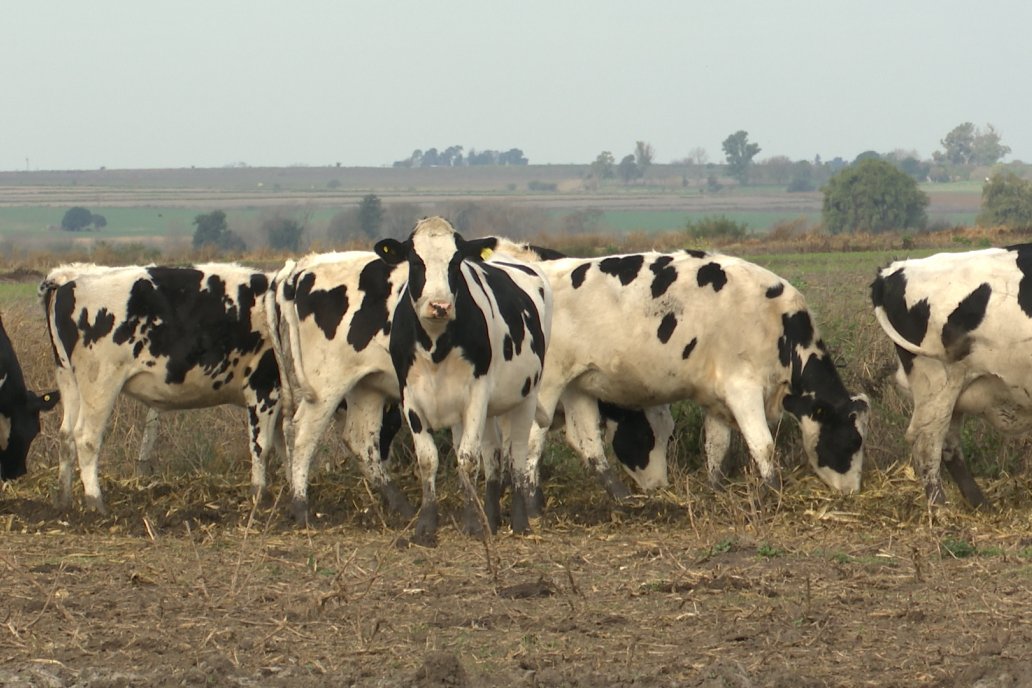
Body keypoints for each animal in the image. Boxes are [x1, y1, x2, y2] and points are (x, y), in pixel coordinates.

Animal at [39, 264, 282, 511]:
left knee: (66, 436)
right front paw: (260, 496)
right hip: (100, 382)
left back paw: (64, 500)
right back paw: (96, 503)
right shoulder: (264, 386)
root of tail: (70, 276)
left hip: (68, 379)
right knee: (86, 438)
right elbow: (262, 446)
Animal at [375, 217, 553, 544]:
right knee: (494, 458)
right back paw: (491, 518)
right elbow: (428, 458)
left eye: (456, 261)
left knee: (517, 457)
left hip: (526, 397)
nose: (439, 305)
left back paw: (519, 521)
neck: (435, 345)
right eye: (415, 261)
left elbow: (467, 458)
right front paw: (426, 526)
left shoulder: (477, 395)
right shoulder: (410, 397)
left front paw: (472, 523)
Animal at [507, 247, 871, 501]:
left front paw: (715, 489)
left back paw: (621, 499)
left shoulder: (716, 396)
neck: (777, 325)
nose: (852, 490)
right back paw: (532, 502)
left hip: (579, 385)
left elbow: (717, 447)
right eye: (853, 440)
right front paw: (774, 490)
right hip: (546, 388)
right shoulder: (743, 389)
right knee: (530, 443)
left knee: (588, 441)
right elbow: (763, 445)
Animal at [871, 243, 1032, 505]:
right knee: (926, 443)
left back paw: (978, 504)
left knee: (948, 444)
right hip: (937, 383)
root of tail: (895, 269)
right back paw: (940, 507)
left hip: (953, 390)